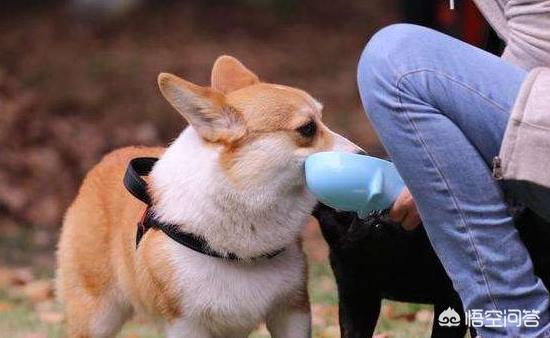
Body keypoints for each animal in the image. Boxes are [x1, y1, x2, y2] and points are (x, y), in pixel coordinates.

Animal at [57, 56, 362, 338]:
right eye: (307, 128)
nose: (364, 155)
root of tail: (107, 158)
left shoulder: (292, 311)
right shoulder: (186, 325)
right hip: (97, 317)